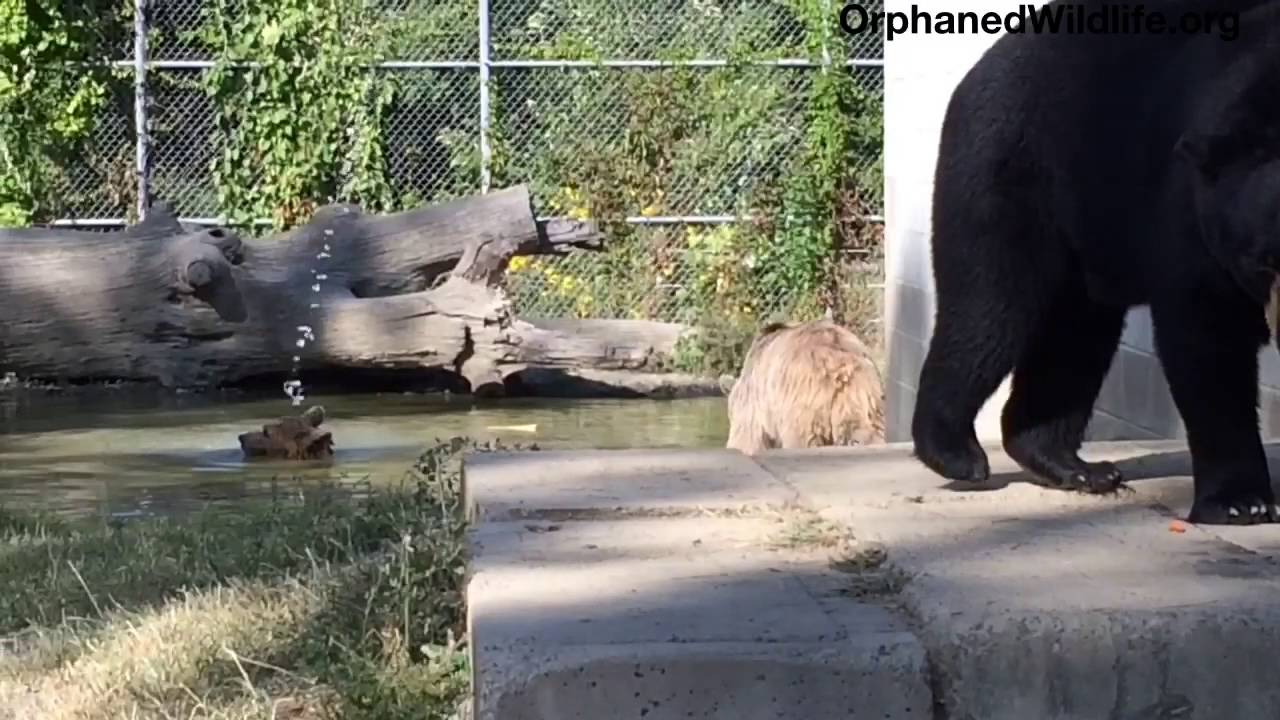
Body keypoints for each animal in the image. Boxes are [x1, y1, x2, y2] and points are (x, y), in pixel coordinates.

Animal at [909, 0, 1280, 525]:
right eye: (1261, 261)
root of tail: (975, 72)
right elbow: (1207, 333)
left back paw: (1071, 464)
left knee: (1074, 339)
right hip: (1010, 173)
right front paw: (1239, 501)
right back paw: (955, 451)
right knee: (989, 309)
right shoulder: (1190, 203)